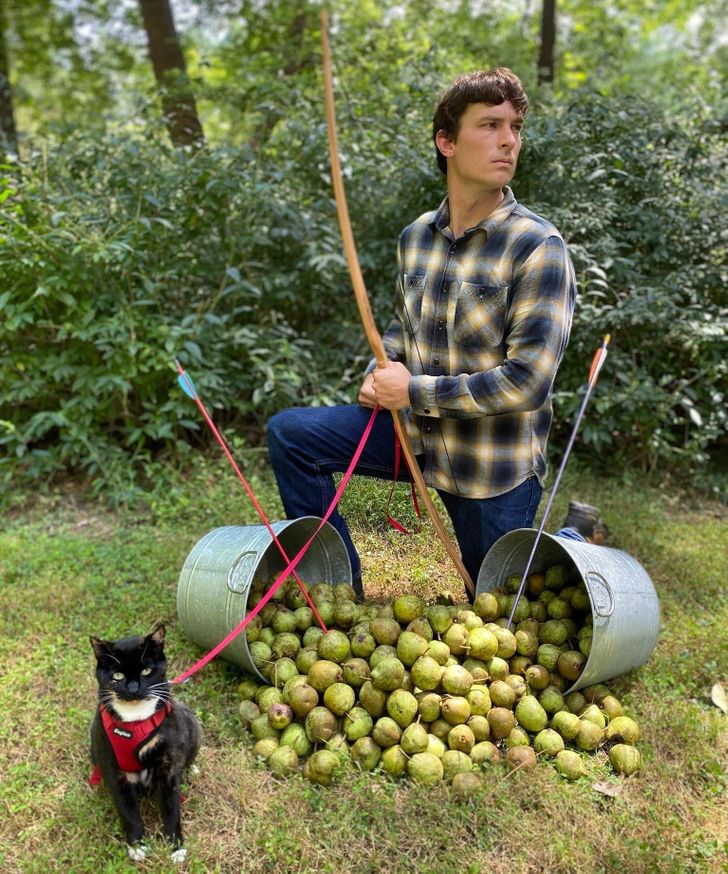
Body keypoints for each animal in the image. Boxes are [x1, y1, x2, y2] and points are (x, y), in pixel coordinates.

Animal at [90, 624, 202, 860]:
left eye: (146, 671)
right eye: (117, 675)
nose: (133, 689)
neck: (134, 720)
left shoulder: (168, 765)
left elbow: (171, 808)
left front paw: (176, 848)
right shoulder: (113, 769)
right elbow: (128, 810)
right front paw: (138, 846)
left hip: (193, 725)